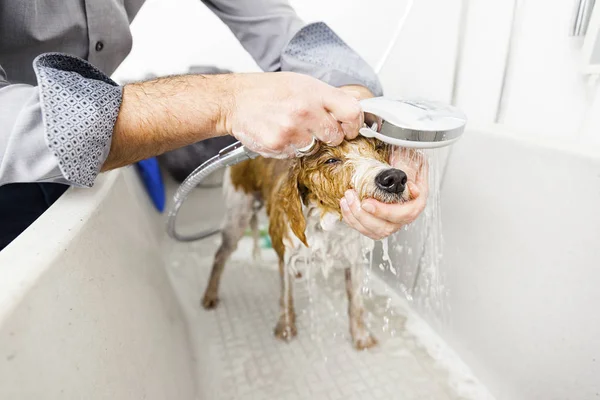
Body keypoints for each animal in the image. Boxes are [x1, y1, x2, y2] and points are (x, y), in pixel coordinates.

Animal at [202, 138, 412, 350]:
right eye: (331, 160)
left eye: (378, 148)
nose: (394, 178)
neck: (324, 218)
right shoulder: (285, 254)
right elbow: (286, 297)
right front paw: (286, 329)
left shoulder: (354, 260)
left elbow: (356, 303)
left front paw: (361, 337)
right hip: (238, 215)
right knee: (220, 255)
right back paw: (210, 295)